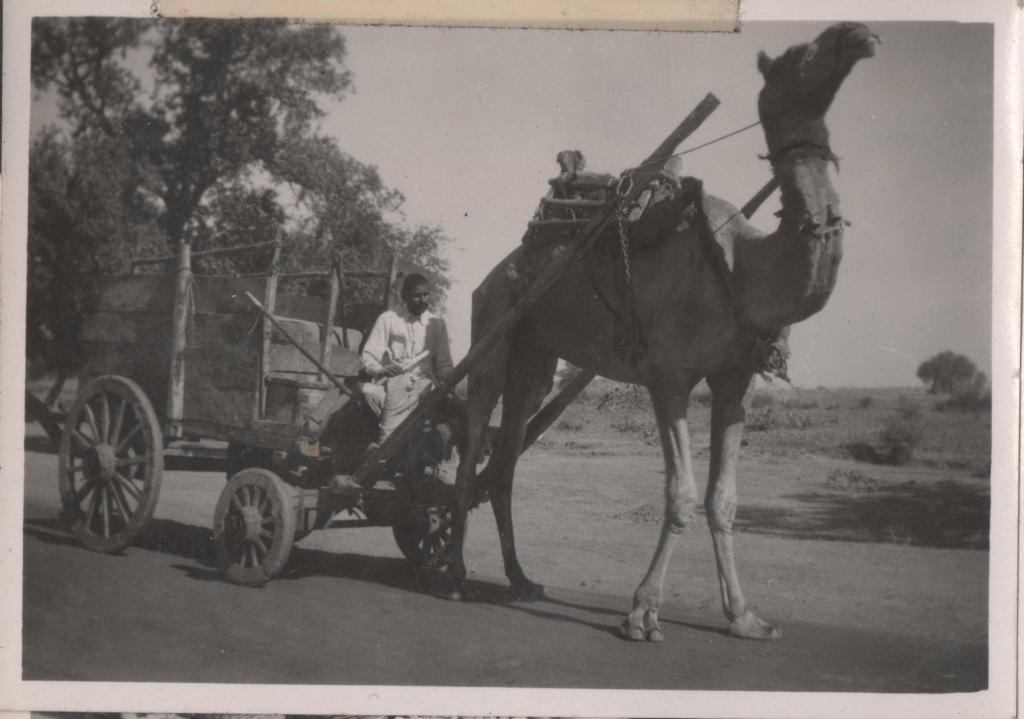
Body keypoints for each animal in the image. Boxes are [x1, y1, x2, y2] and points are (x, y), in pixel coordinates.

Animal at [448, 22, 880, 642]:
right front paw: (642, 614)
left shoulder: (735, 379)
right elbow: (680, 494)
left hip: (537, 353)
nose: (859, 34)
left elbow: (723, 499)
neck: (743, 267)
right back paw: (455, 576)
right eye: (799, 54)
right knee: (473, 437)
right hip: (493, 322)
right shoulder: (669, 374)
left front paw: (745, 617)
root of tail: (498, 270)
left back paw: (521, 580)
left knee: (505, 460)